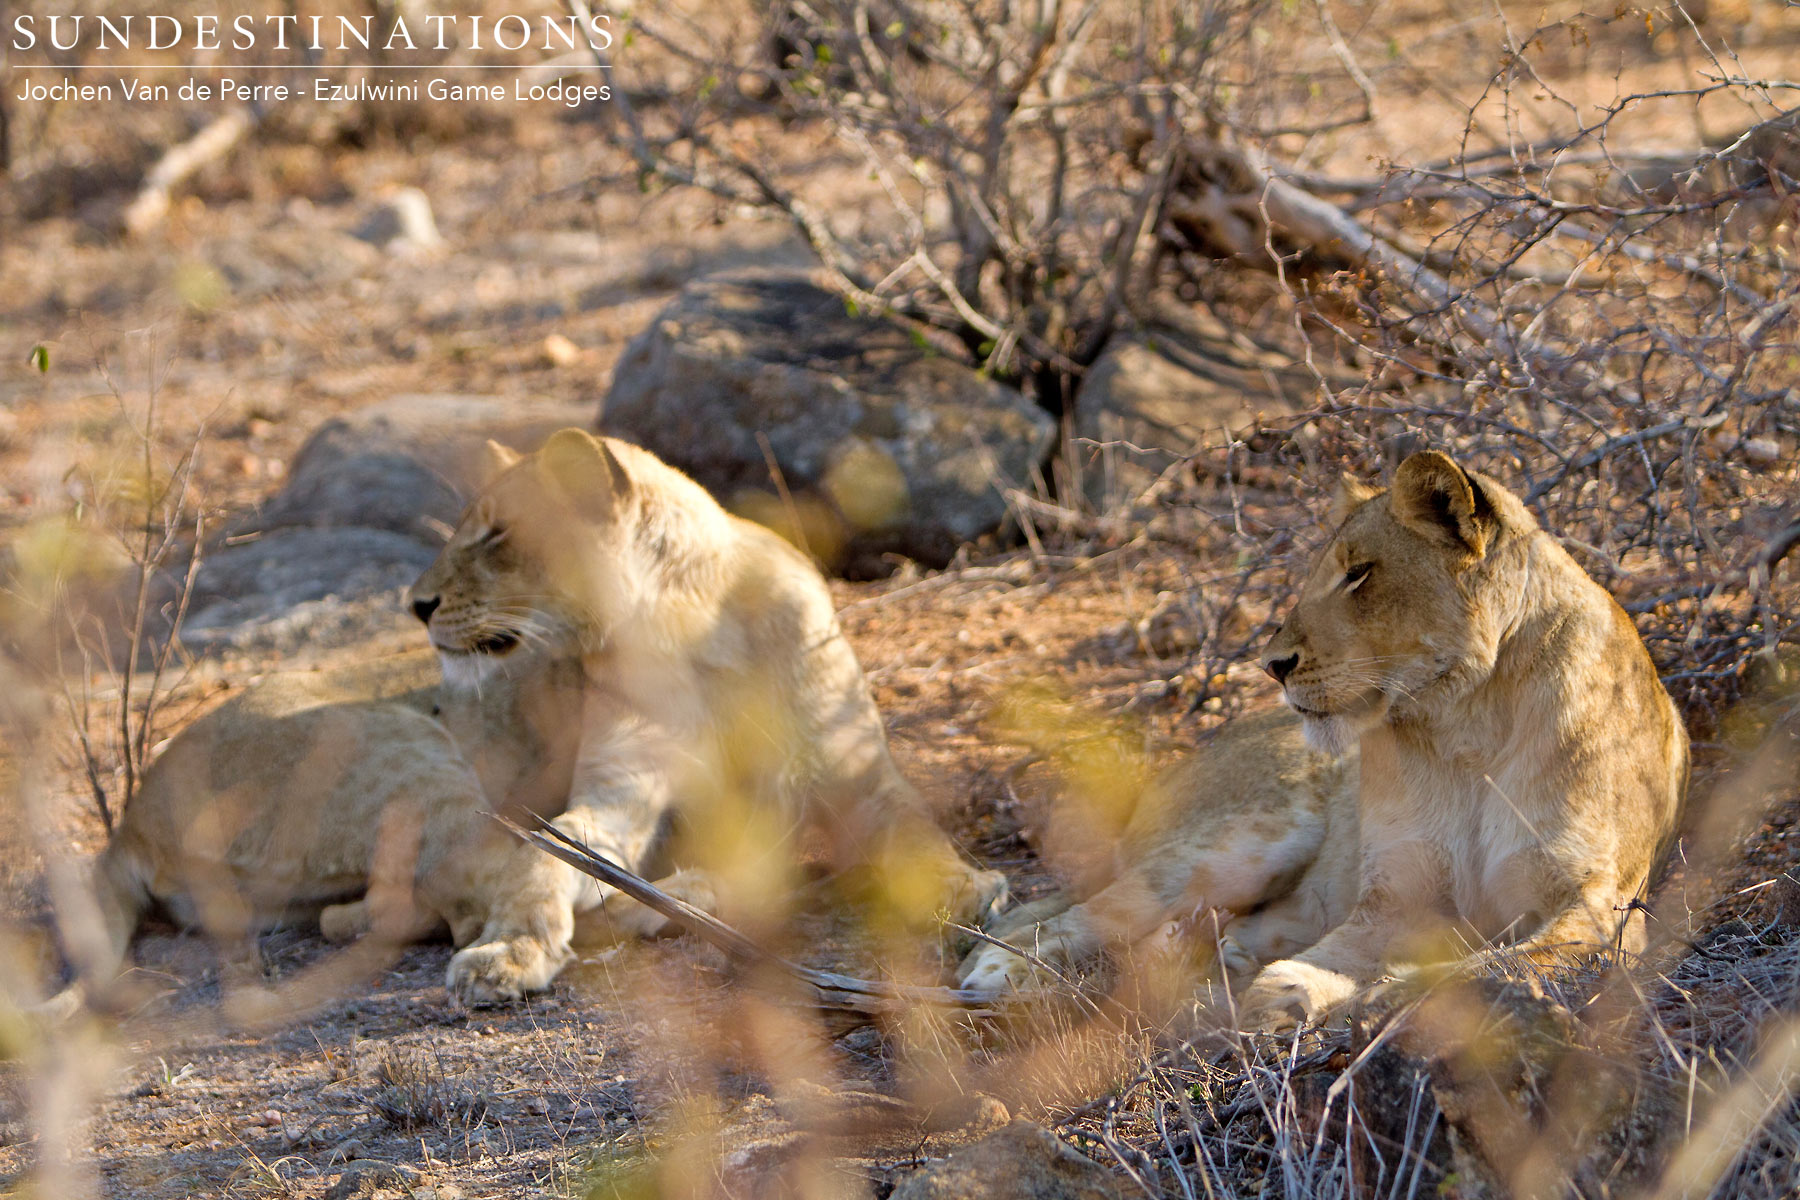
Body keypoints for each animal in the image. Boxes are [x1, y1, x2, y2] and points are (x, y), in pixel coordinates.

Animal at [959, 451, 1688, 1030]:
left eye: (1359, 573)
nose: (1272, 665)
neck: (1467, 725)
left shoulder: (1602, 906)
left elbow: (1503, 961)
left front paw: (1368, 993)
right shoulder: (1395, 899)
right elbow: (1343, 952)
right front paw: (1293, 989)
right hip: (1242, 839)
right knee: (1076, 914)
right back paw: (998, 973)